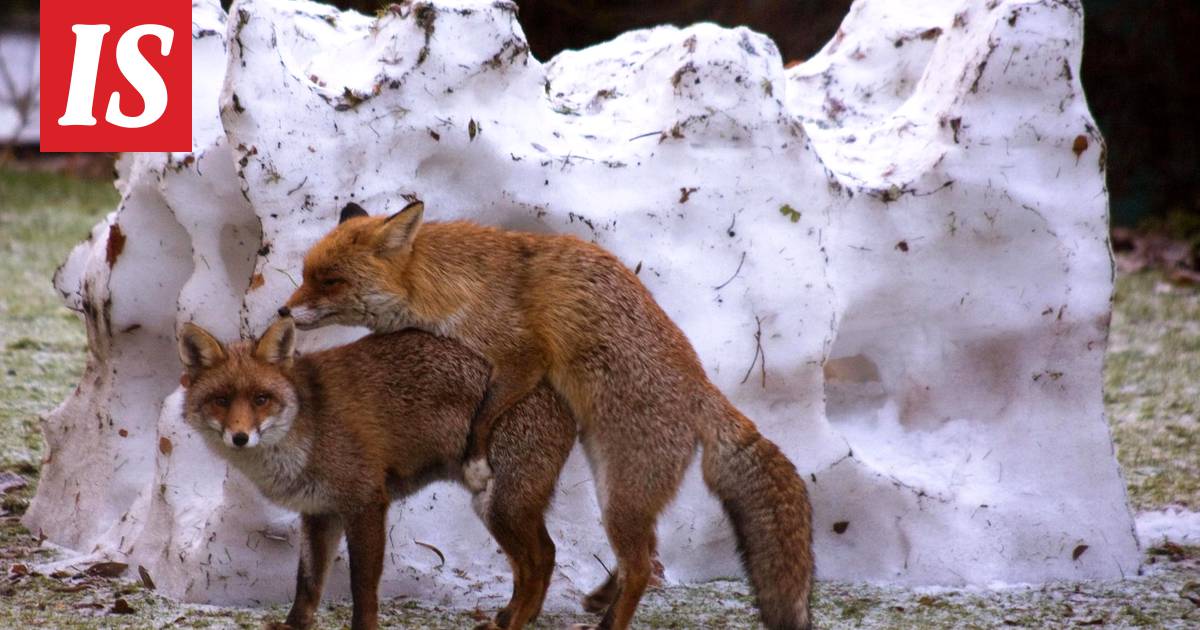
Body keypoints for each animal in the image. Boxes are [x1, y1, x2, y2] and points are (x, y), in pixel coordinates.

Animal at [175, 319, 578, 628]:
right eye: (221, 400)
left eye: (261, 399)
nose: (240, 437)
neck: (308, 428)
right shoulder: (319, 512)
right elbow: (308, 583)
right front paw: (293, 625)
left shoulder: (365, 502)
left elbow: (362, 587)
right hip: (502, 507)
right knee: (545, 555)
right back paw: (516, 616)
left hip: (499, 506)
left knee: (537, 563)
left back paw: (513, 622)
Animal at [280, 201, 816, 628]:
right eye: (305, 274)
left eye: (331, 280)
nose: (283, 312)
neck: (455, 284)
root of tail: (704, 390)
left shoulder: (522, 356)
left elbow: (486, 410)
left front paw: (475, 454)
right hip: (619, 490)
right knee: (648, 552)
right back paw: (596, 599)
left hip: (618, 496)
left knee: (642, 566)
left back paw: (607, 623)